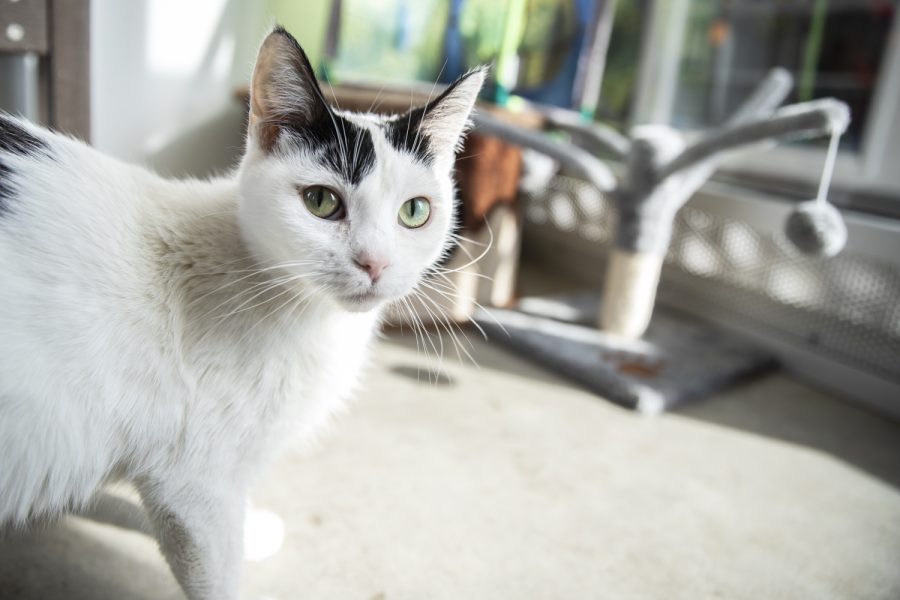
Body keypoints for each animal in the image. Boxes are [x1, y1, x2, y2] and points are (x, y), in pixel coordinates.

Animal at [0, 28, 486, 600]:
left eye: (415, 211)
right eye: (321, 202)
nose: (375, 263)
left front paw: (250, 530)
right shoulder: (194, 483)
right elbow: (217, 566)